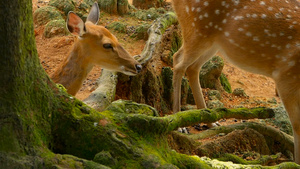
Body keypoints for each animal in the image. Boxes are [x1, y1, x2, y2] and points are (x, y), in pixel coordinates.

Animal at [172, 0, 300, 164]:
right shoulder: (286, 75)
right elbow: (296, 125)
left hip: (212, 42)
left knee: (193, 67)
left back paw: (210, 120)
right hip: (196, 29)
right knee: (178, 60)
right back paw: (179, 124)